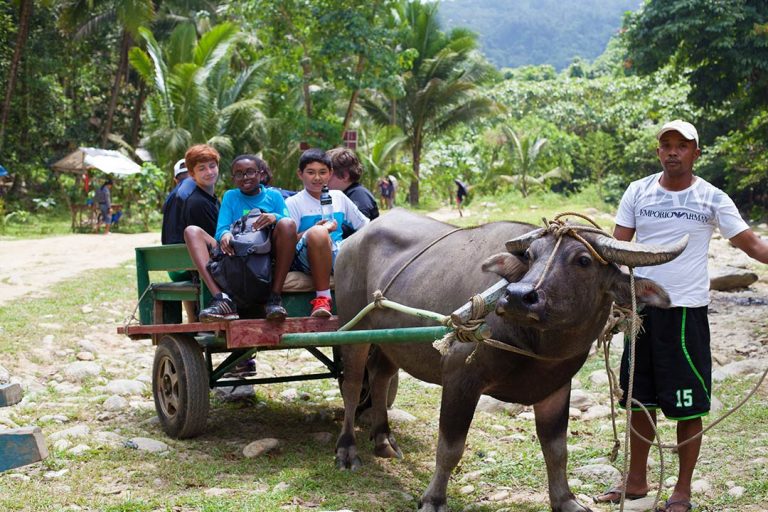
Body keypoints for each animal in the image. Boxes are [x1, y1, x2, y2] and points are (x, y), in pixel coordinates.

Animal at [333, 209, 687, 512]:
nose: (518, 296)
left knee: (380, 378)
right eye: (530, 256)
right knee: (352, 387)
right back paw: (347, 450)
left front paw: (566, 500)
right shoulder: (460, 378)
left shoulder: (557, 388)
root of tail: (354, 240)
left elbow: (556, 450)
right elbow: (449, 447)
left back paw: (383, 439)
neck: (536, 344)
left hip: (388, 340)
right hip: (353, 330)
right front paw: (433, 499)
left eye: (584, 259)